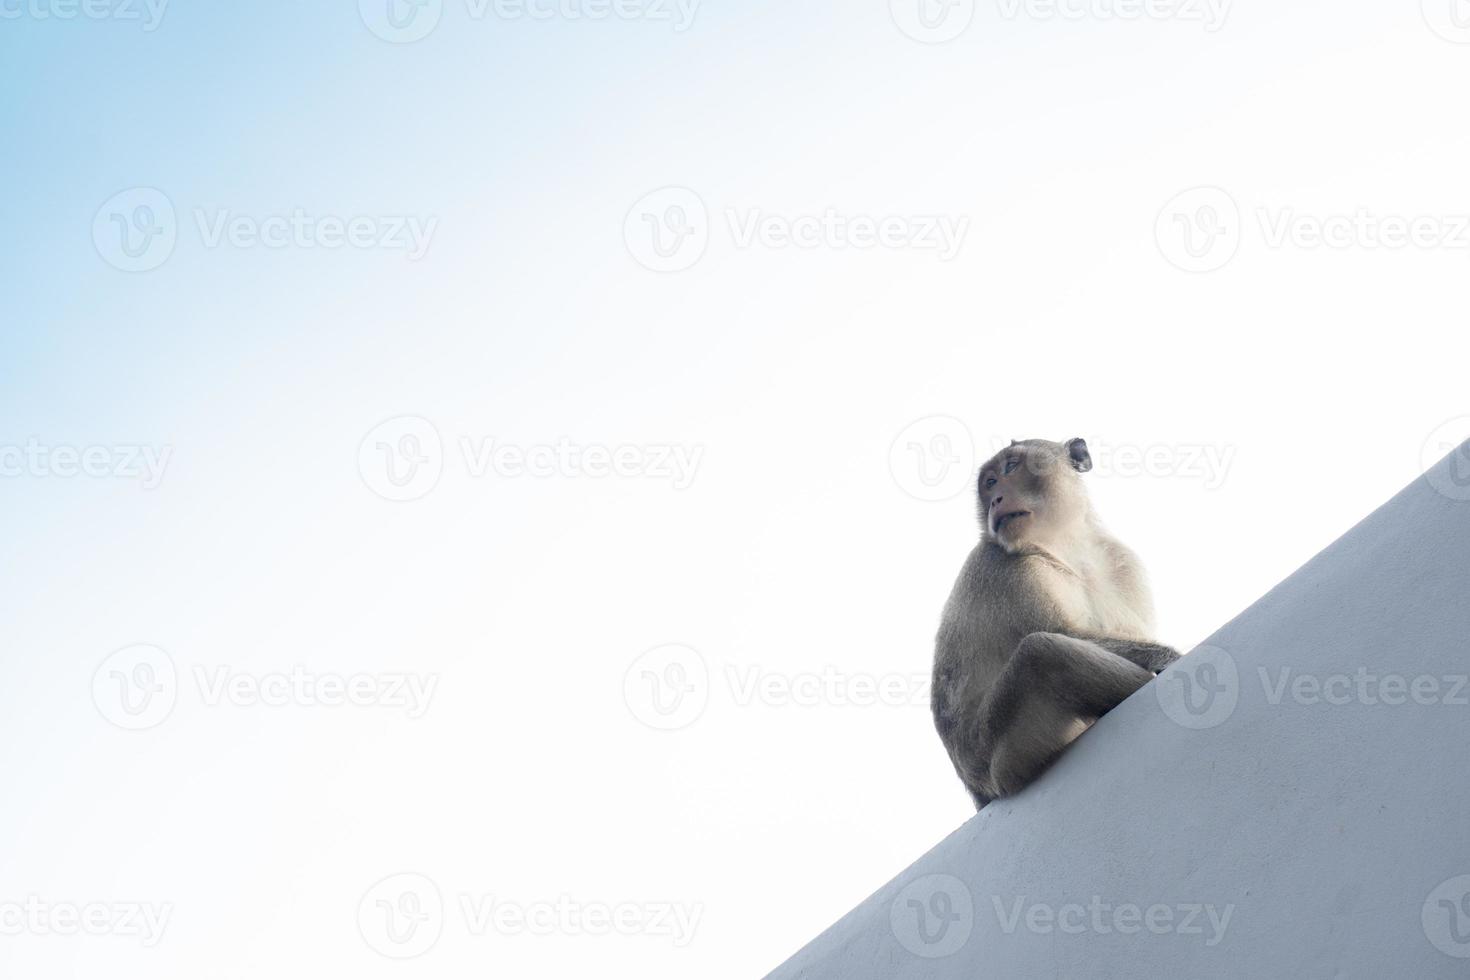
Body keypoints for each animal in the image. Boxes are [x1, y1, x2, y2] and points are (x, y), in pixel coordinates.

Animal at [929, 440, 1181, 811]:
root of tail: (979, 790)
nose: (996, 499)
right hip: (1000, 749)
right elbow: (1065, 634)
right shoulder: (1009, 570)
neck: (1064, 544)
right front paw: (1167, 657)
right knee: (1042, 653)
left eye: (1010, 468)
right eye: (989, 483)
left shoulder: (1123, 562)